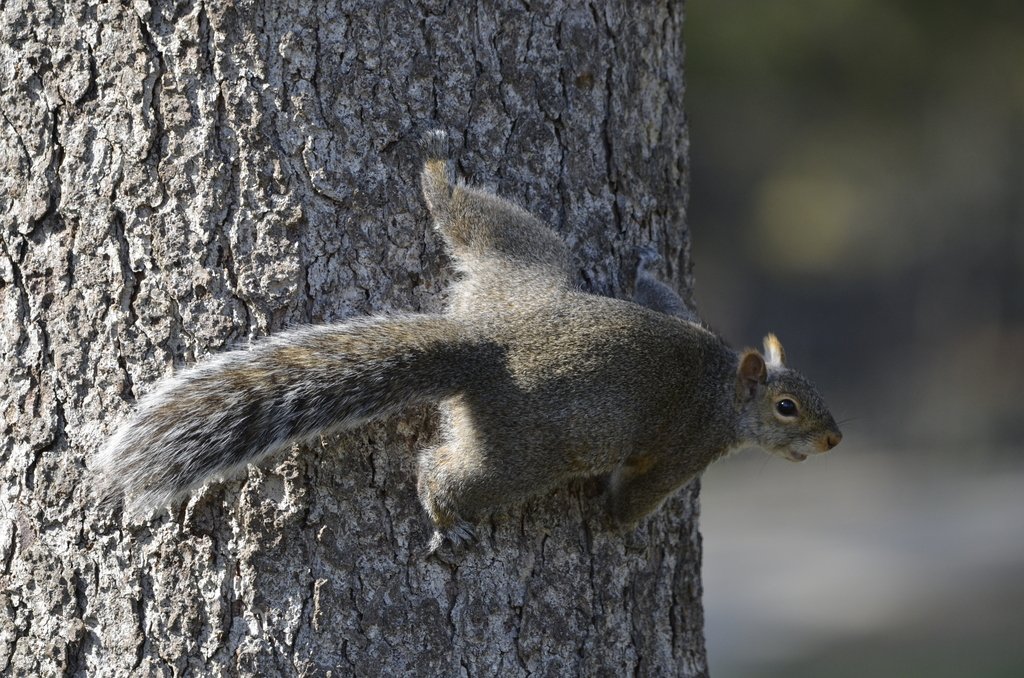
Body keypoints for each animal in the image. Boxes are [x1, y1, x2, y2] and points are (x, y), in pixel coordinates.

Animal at [94, 130, 842, 553]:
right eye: (787, 409)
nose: (835, 440)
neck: (723, 382)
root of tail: (485, 342)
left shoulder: (688, 323)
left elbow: (661, 294)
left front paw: (649, 263)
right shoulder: (686, 447)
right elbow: (635, 497)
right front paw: (616, 531)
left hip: (524, 263)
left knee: (480, 224)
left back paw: (439, 183)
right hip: (523, 451)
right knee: (443, 471)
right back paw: (444, 515)